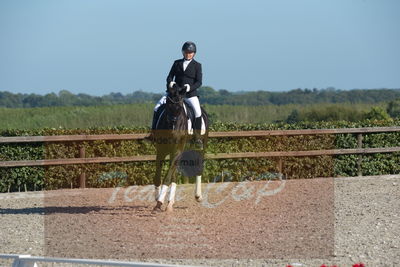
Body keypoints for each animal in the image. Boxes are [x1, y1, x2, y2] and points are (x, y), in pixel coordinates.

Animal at [152, 85, 209, 214]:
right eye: (168, 104)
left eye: (179, 106)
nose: (173, 124)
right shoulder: (161, 151)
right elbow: (158, 176)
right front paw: (158, 200)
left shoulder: (176, 150)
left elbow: (168, 176)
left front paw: (160, 202)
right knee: (175, 172)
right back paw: (170, 202)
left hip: (200, 147)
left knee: (198, 167)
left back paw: (198, 196)